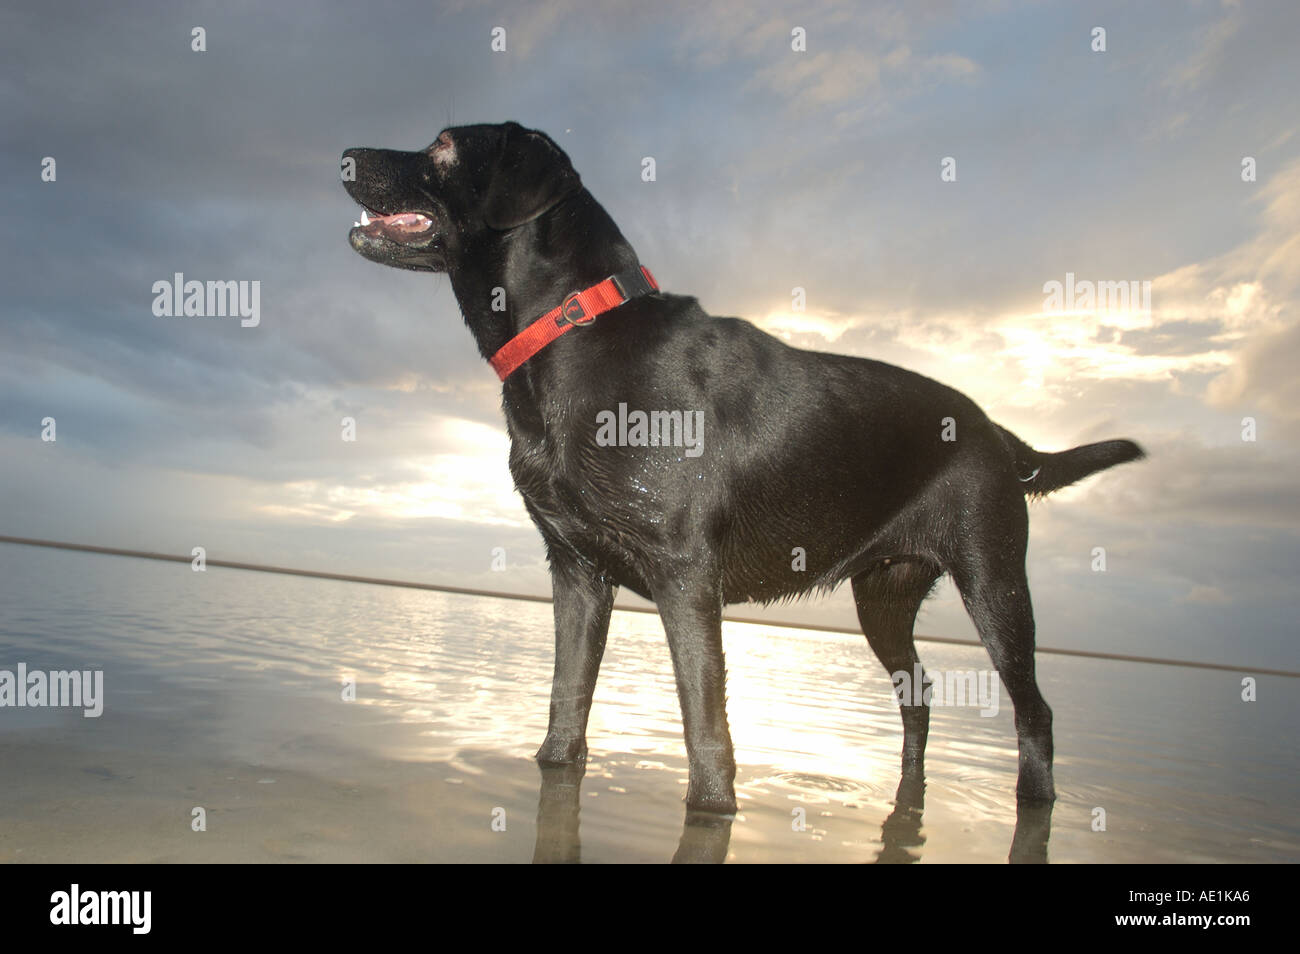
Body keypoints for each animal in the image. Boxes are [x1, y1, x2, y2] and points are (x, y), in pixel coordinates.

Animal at [340, 123, 1144, 816]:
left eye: (445, 145)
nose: (345, 155)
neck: (570, 334)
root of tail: (994, 429)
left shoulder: (684, 575)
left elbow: (706, 724)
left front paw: (714, 807)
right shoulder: (576, 572)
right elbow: (566, 708)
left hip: (993, 578)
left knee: (1034, 709)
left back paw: (1035, 800)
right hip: (884, 597)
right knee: (918, 697)